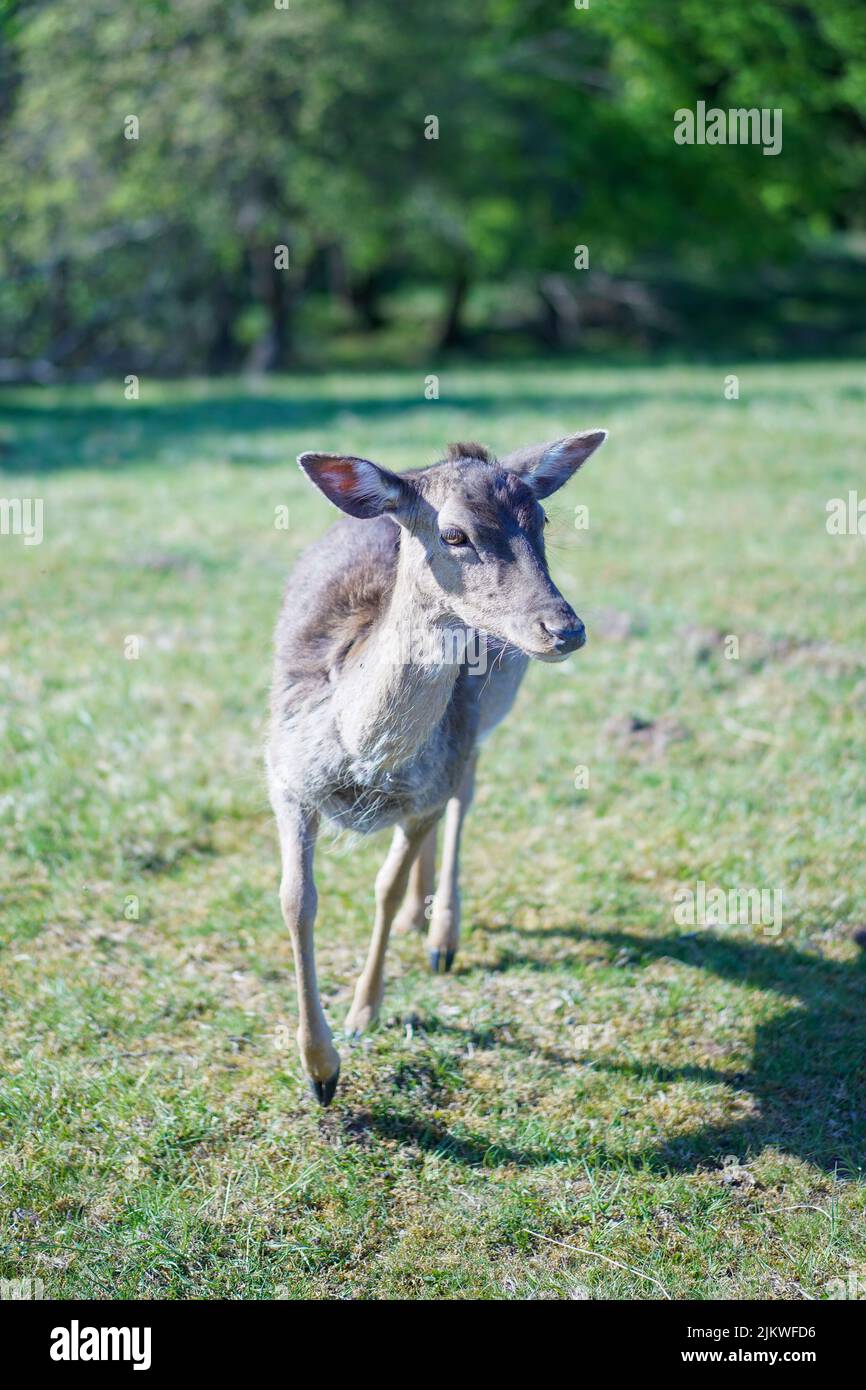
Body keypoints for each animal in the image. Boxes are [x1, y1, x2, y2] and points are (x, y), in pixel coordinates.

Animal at [268, 428, 606, 1100]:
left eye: (542, 520)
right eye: (454, 535)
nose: (566, 628)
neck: (361, 761)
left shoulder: (434, 778)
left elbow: (386, 886)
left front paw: (362, 1014)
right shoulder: (284, 777)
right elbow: (297, 900)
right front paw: (319, 1070)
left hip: (484, 720)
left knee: (464, 798)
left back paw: (440, 936)